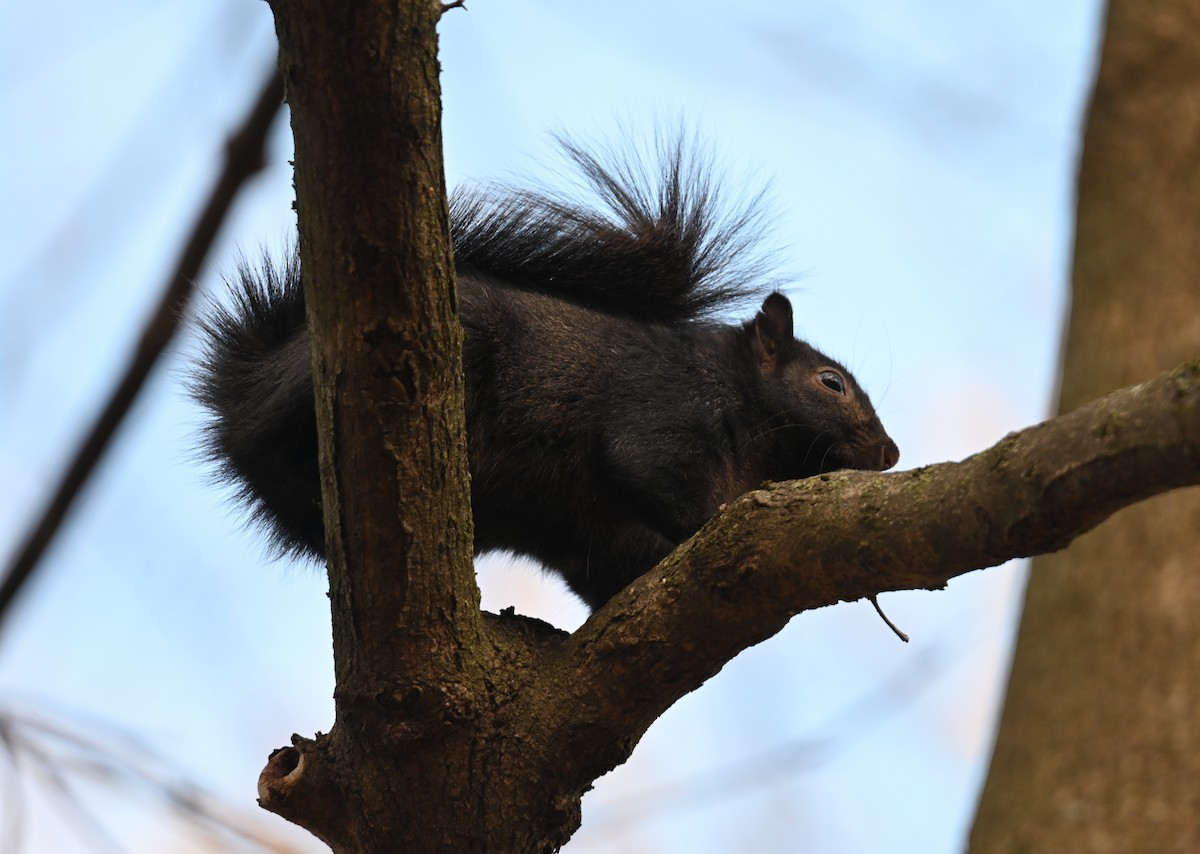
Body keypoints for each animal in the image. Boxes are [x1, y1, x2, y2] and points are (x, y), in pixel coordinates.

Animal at [192, 136, 899, 610]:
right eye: (831, 383)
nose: (889, 453)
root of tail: (244, 394)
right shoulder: (664, 405)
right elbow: (652, 467)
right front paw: (716, 517)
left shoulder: (596, 532)